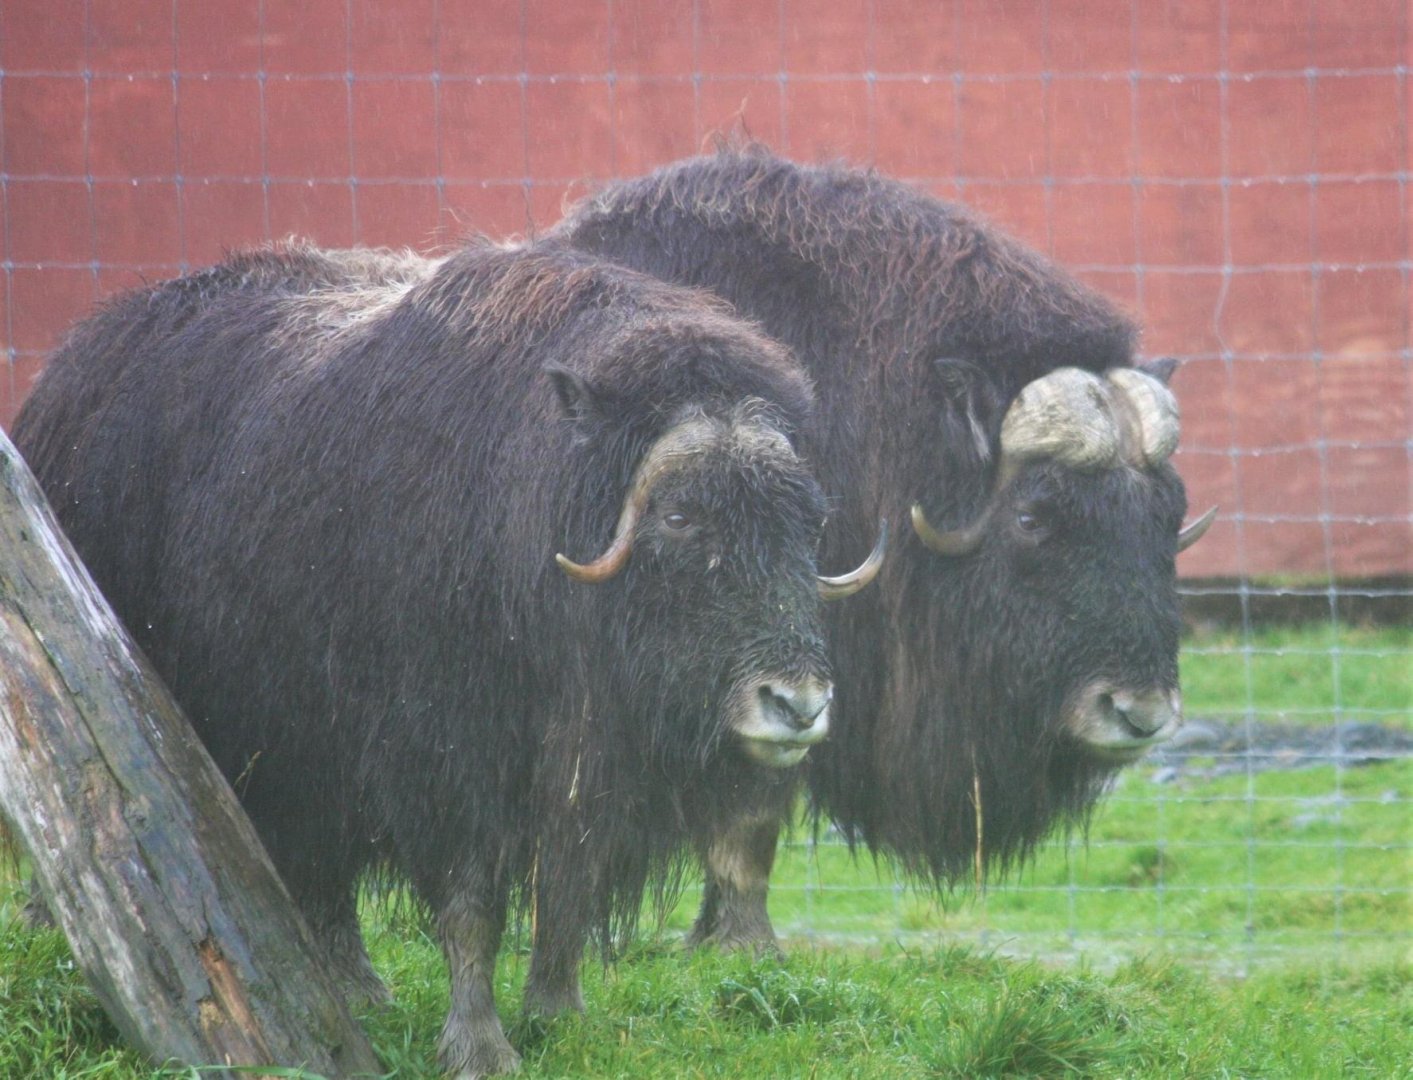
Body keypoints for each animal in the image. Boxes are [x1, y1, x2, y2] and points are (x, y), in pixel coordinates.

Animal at [12, 238, 882, 1078]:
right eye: (678, 515)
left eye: (809, 521)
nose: (798, 704)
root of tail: (69, 364)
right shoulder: (448, 758)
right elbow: (474, 907)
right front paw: (479, 1049)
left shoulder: (585, 765)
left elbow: (567, 889)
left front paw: (558, 1017)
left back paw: (358, 987)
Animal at [553, 144, 1215, 955]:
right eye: (1033, 516)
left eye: (1167, 513)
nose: (1139, 714)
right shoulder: (769, 662)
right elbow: (752, 807)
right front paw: (743, 946)